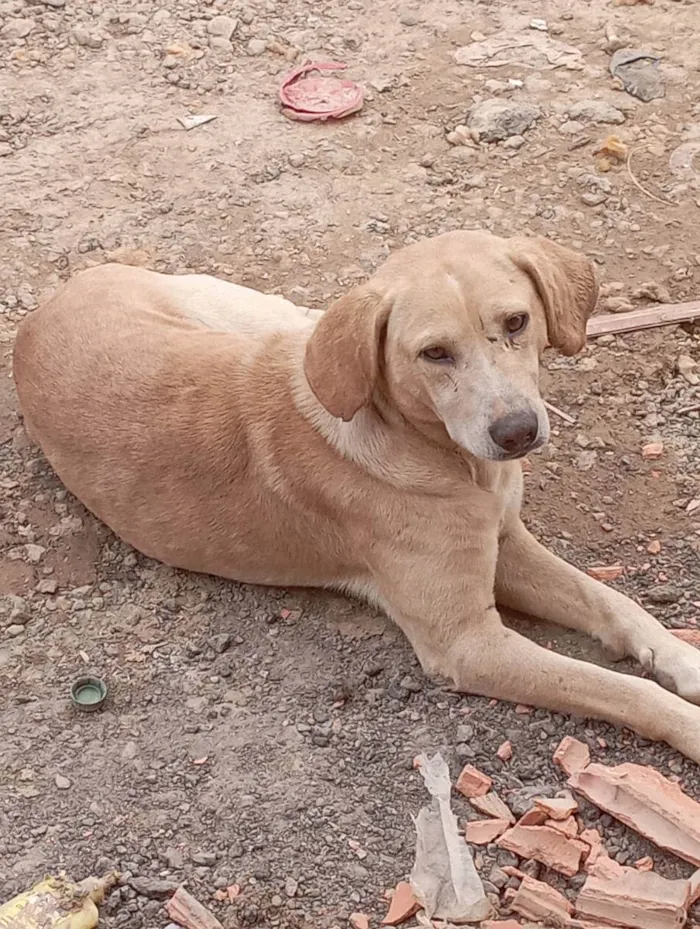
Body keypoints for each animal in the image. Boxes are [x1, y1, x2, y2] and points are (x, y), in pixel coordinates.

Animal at [12, 232, 700, 760]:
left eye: (516, 323)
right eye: (434, 353)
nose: (517, 433)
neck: (441, 455)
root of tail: (46, 307)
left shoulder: (508, 546)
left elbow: (616, 604)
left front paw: (684, 661)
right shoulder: (467, 642)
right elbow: (619, 688)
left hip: (265, 317)